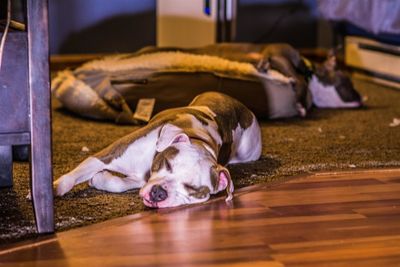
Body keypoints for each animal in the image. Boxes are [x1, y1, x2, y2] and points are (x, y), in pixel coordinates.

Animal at [54, 92, 262, 209]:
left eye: (193, 189)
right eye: (168, 163)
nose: (159, 193)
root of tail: (240, 105)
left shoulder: (140, 179)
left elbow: (120, 183)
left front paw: (101, 178)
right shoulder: (109, 154)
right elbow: (74, 175)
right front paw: (55, 188)